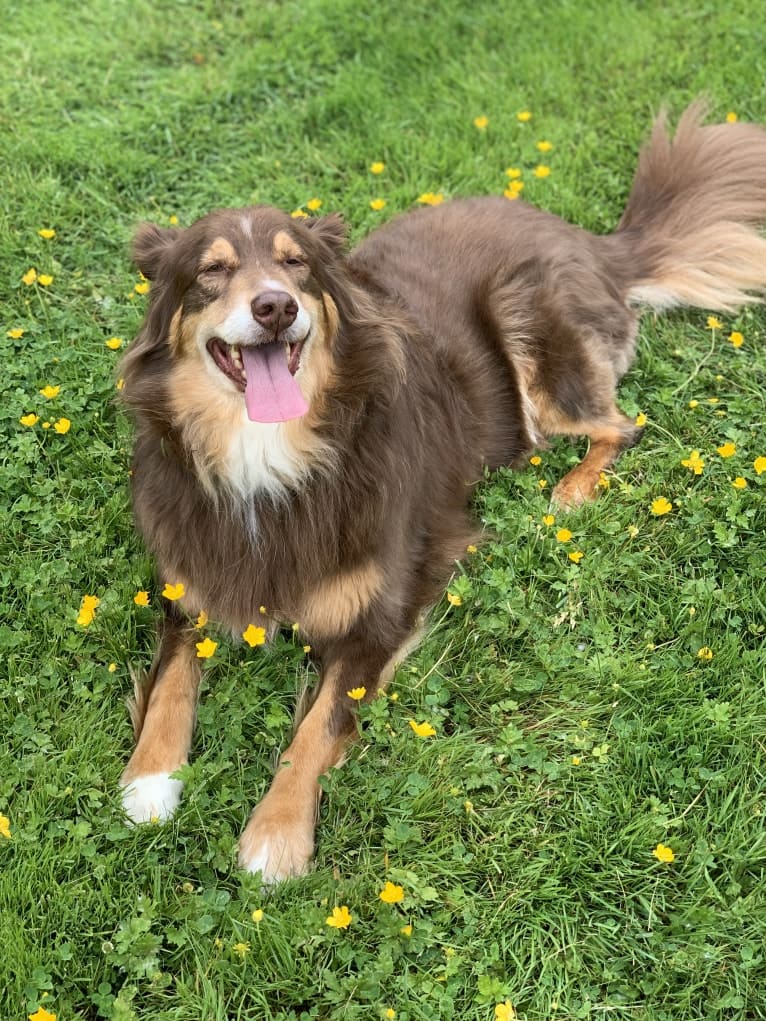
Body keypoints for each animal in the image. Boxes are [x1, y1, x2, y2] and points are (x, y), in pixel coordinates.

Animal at [116, 105, 766, 886]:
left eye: (296, 264)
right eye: (210, 271)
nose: (275, 307)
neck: (270, 454)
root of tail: (593, 241)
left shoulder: (386, 609)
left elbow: (318, 724)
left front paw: (277, 833)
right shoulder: (191, 577)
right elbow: (171, 679)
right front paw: (149, 779)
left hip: (527, 319)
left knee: (621, 425)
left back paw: (571, 490)